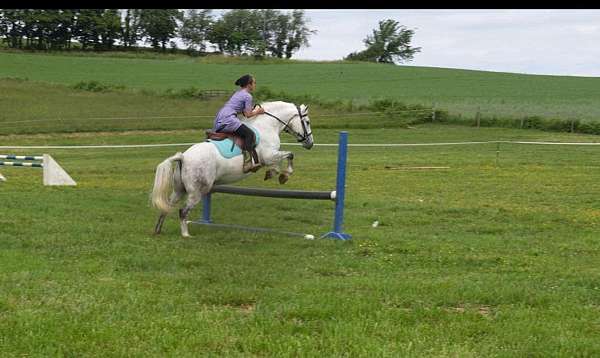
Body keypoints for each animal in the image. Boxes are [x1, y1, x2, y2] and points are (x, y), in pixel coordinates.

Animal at [150, 100, 314, 238]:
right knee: (182, 211)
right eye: (307, 122)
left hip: (179, 190)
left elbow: (279, 163)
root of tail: (183, 157)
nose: (310, 143)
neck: (268, 125)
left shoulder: (270, 157)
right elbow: (290, 155)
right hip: (197, 191)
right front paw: (284, 175)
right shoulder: (268, 156)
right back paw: (186, 235)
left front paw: (272, 173)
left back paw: (158, 230)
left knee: (166, 207)